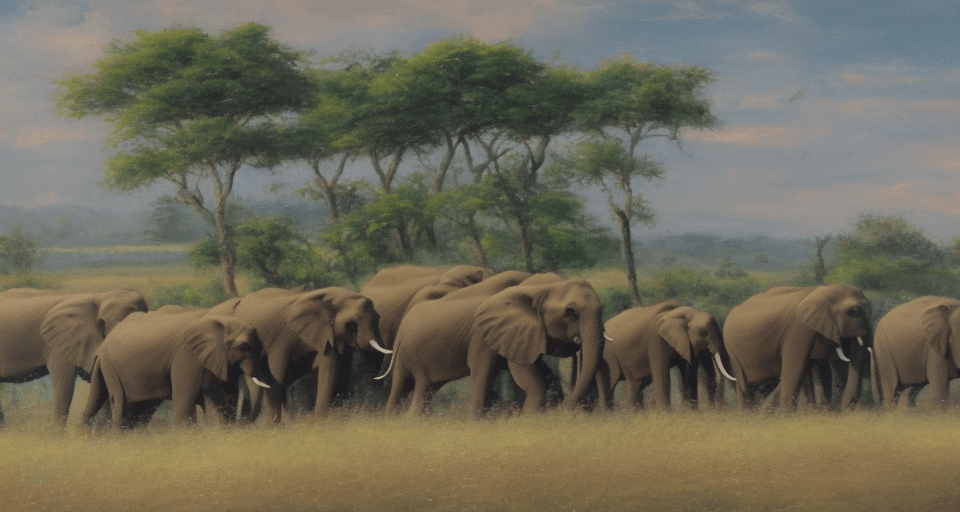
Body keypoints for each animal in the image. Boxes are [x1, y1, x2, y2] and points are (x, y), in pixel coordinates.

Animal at [81, 309, 271, 428]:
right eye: (245, 348)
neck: (219, 321)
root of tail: (103, 345)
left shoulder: (217, 360)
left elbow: (224, 401)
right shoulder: (186, 358)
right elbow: (185, 403)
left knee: (139, 411)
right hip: (111, 368)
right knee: (121, 407)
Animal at [208, 287, 382, 423]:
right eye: (351, 324)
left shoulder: (328, 335)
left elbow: (335, 370)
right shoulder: (282, 339)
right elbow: (276, 376)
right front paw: (275, 427)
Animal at [383, 273, 605, 417]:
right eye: (571, 312)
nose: (566, 413)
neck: (533, 288)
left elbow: (544, 376)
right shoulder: (482, 335)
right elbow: (492, 376)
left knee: (423, 389)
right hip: (405, 352)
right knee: (407, 387)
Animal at [595, 300, 735, 410]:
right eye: (703, 333)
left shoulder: (685, 342)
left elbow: (689, 373)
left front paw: (691, 412)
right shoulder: (656, 339)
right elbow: (662, 373)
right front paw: (666, 414)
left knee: (634, 384)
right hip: (606, 355)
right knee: (608, 385)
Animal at [723, 284, 873, 410]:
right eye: (852, 312)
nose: (851, 403)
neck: (818, 291)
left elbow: (823, 368)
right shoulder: (798, 329)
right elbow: (794, 372)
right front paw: (786, 416)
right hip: (731, 350)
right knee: (744, 386)